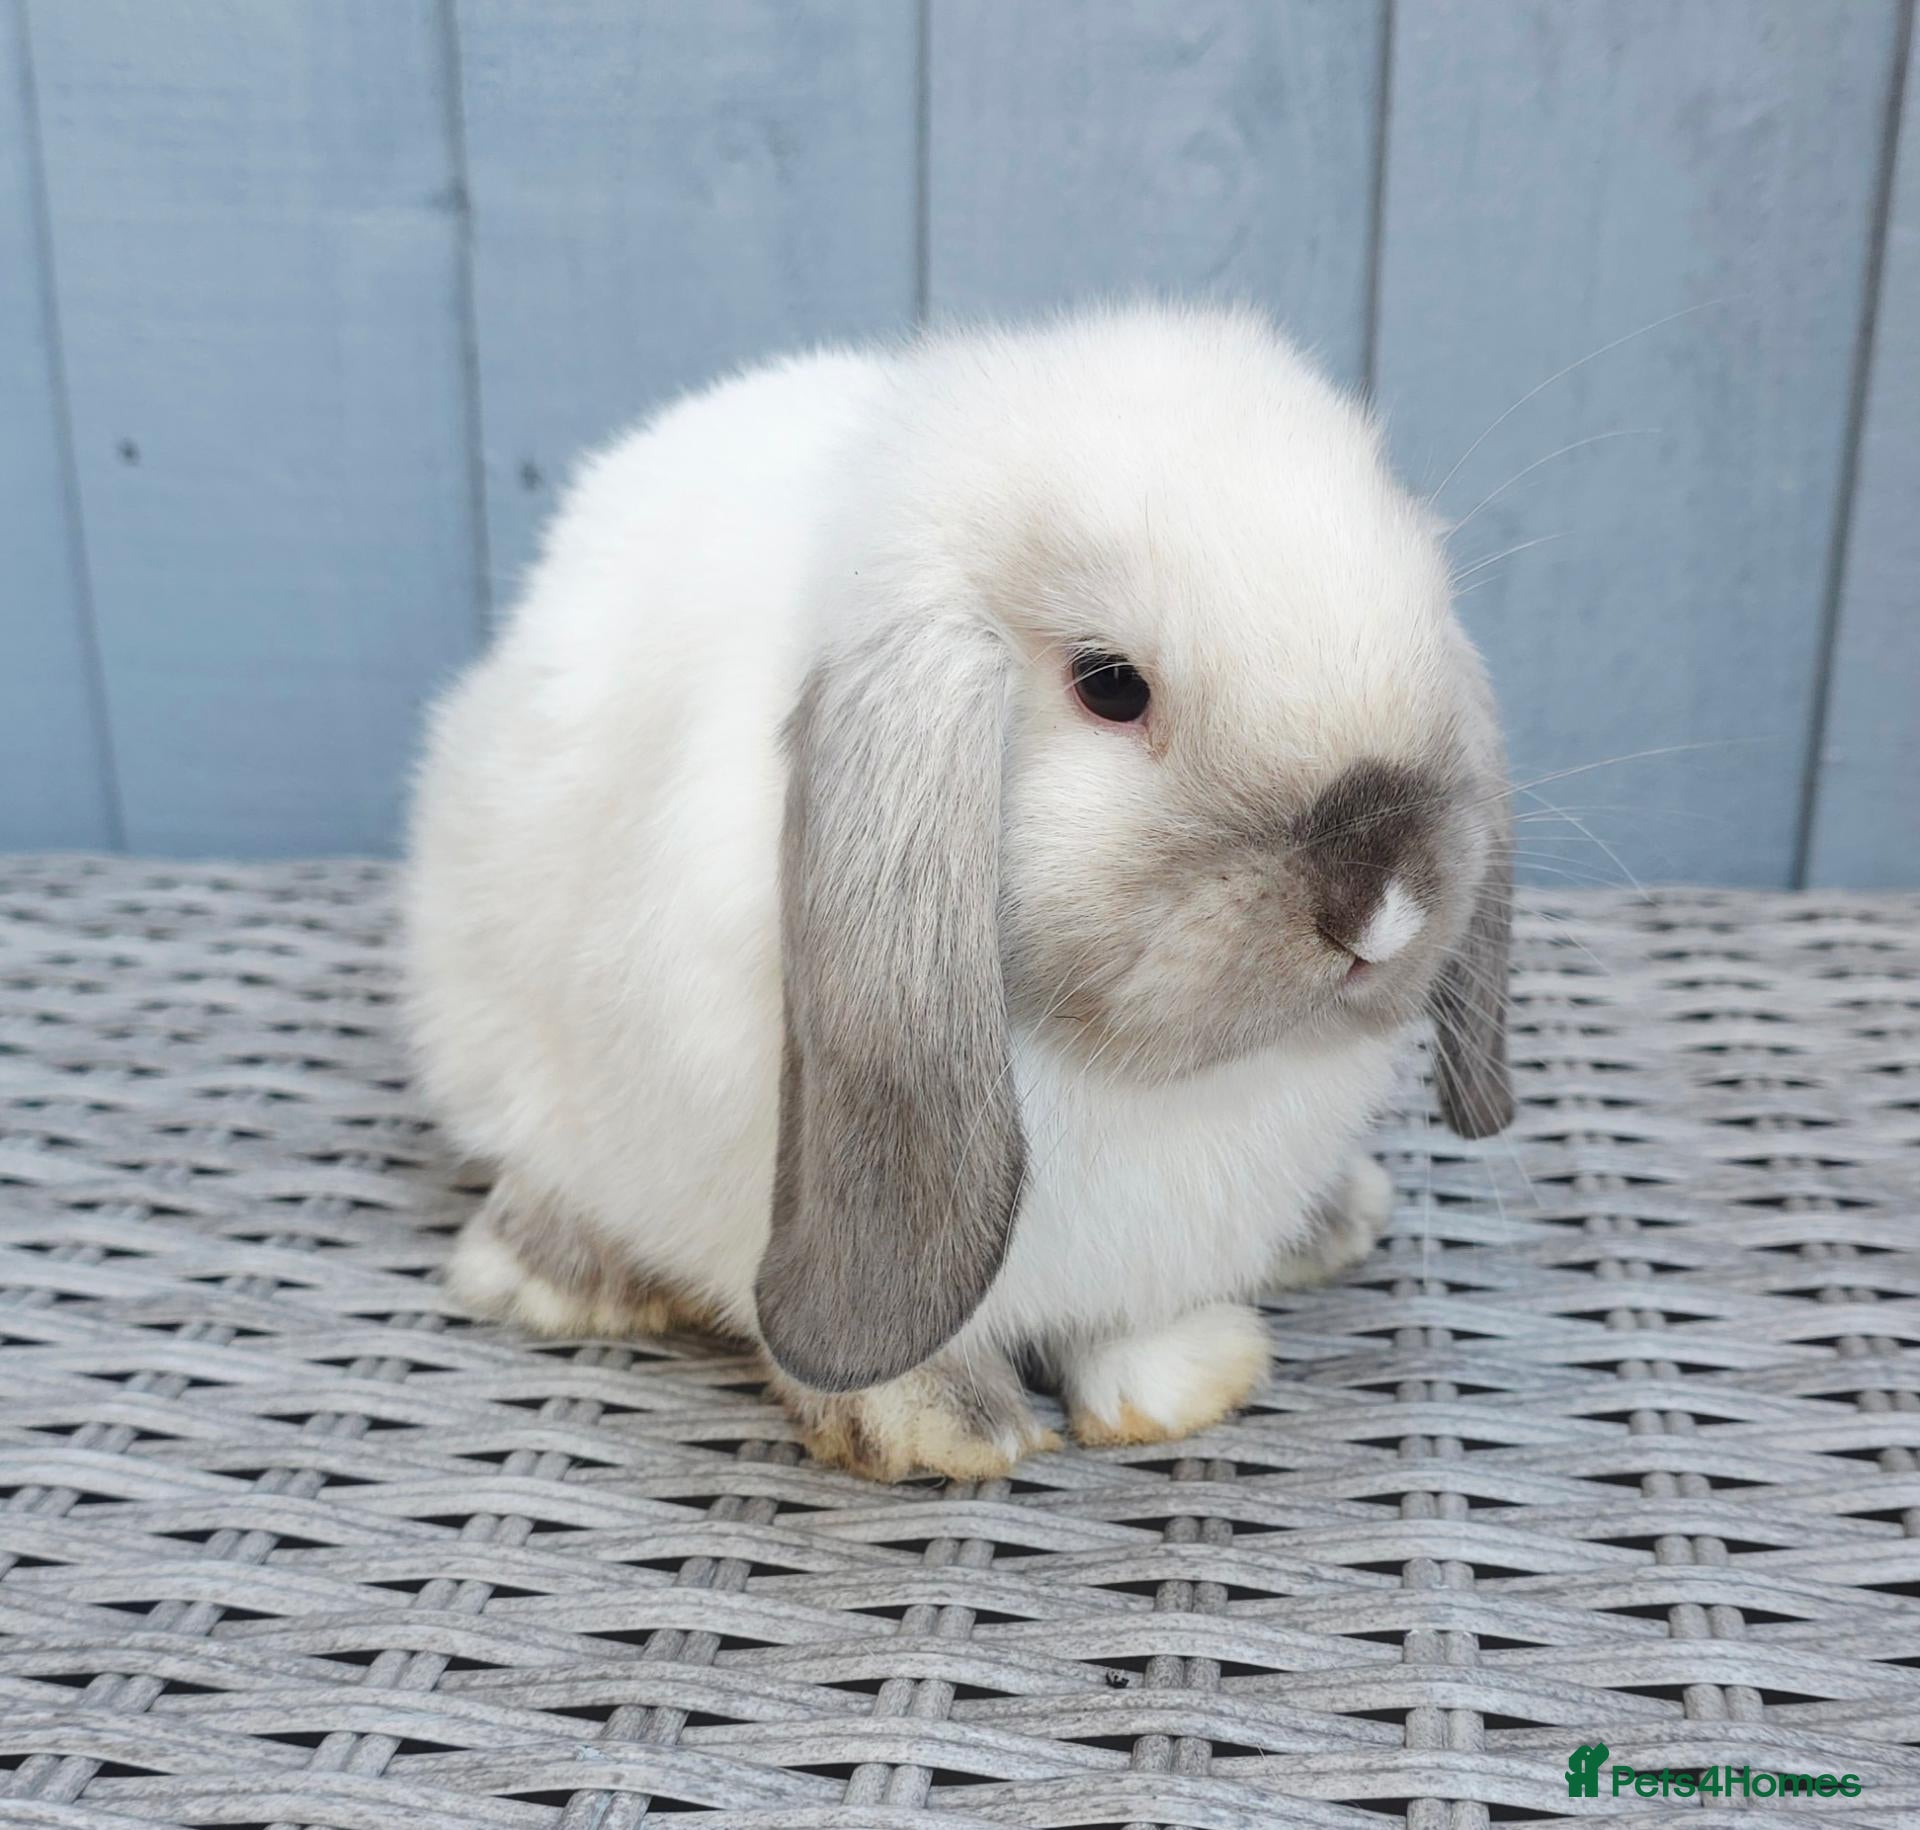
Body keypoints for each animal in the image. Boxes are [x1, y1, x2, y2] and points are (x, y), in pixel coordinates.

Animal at [403, 302, 1513, 1482]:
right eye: (1109, 685)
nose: (1382, 904)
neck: (1122, 1074)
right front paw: (945, 1430)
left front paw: (1181, 1386)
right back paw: (553, 1274)